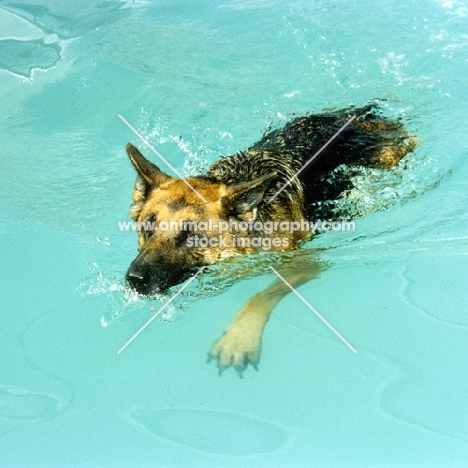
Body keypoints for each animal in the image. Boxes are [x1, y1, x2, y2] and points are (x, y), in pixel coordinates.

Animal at [124, 104, 416, 374]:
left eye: (191, 236)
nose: (134, 279)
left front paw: (239, 338)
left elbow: (260, 296)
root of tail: (353, 116)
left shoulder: (302, 263)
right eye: (148, 228)